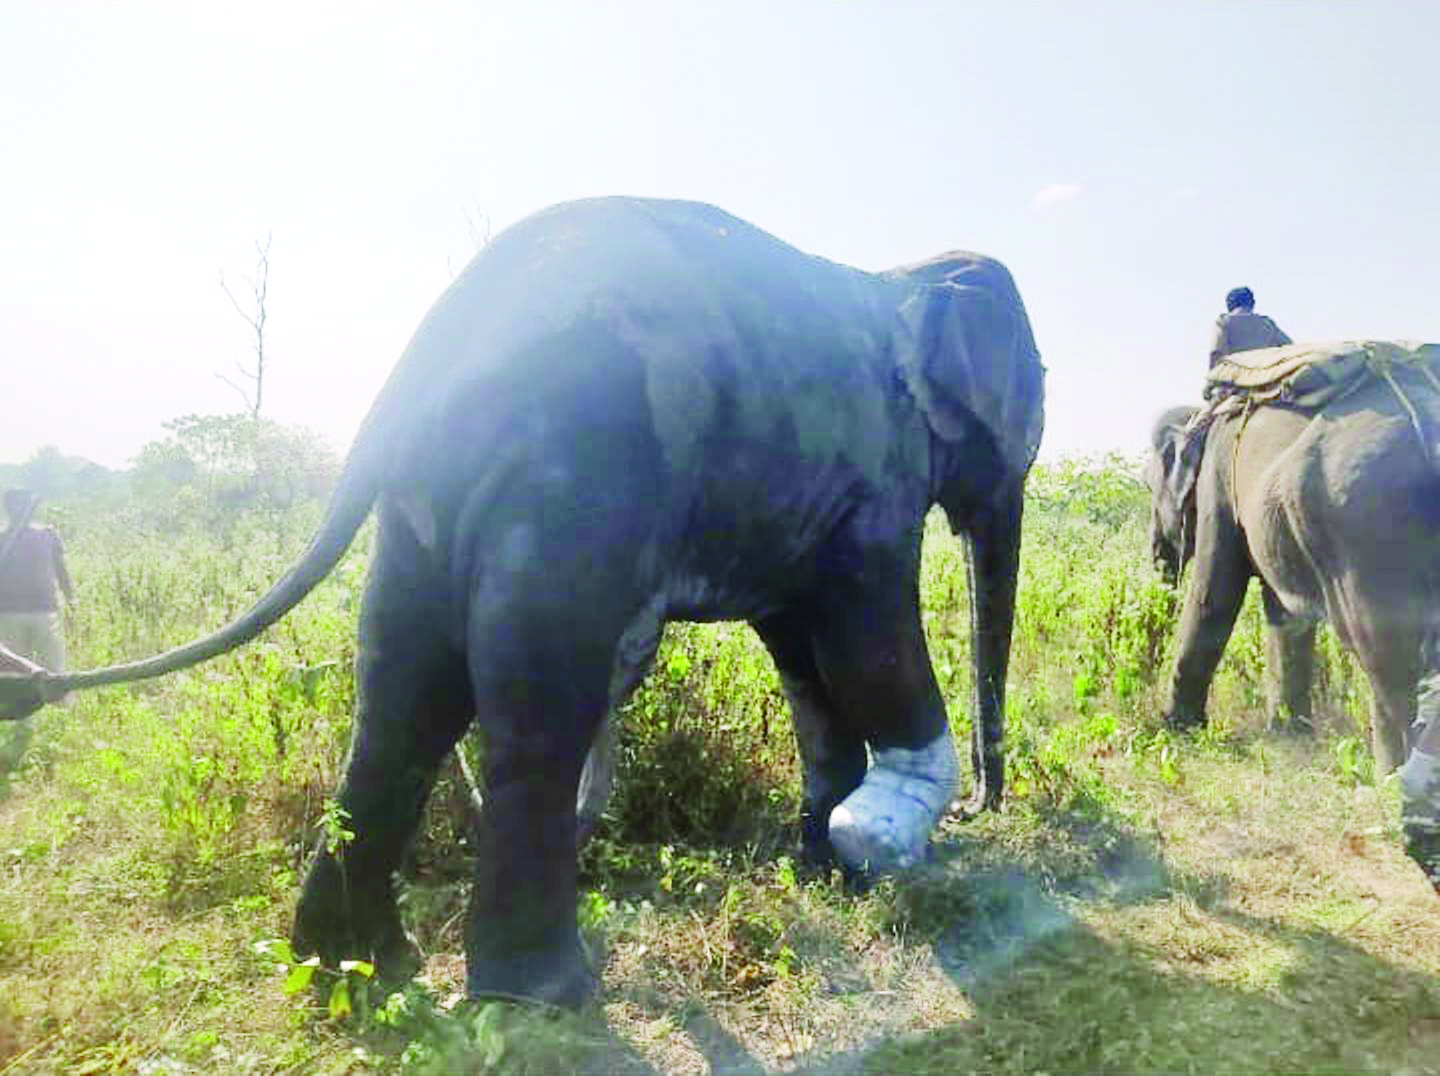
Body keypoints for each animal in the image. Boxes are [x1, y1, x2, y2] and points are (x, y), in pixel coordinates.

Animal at [0, 197, 1045, 1006]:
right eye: (1038, 396)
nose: (983, 811)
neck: (902, 276)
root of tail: (417, 363)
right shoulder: (876, 474)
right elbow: (867, 631)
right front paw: (884, 841)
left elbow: (801, 649)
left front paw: (826, 861)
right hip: (576, 474)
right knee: (538, 702)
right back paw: (543, 996)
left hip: (433, 506)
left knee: (402, 694)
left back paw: (359, 971)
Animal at [1145, 344, 1440, 774]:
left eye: (1148, 486)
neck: (1204, 417)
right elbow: (1283, 611)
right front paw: (1288, 733)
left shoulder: (1217, 479)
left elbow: (1214, 593)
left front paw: (1173, 728)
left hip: (1364, 522)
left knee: (1382, 651)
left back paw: (1393, 776)